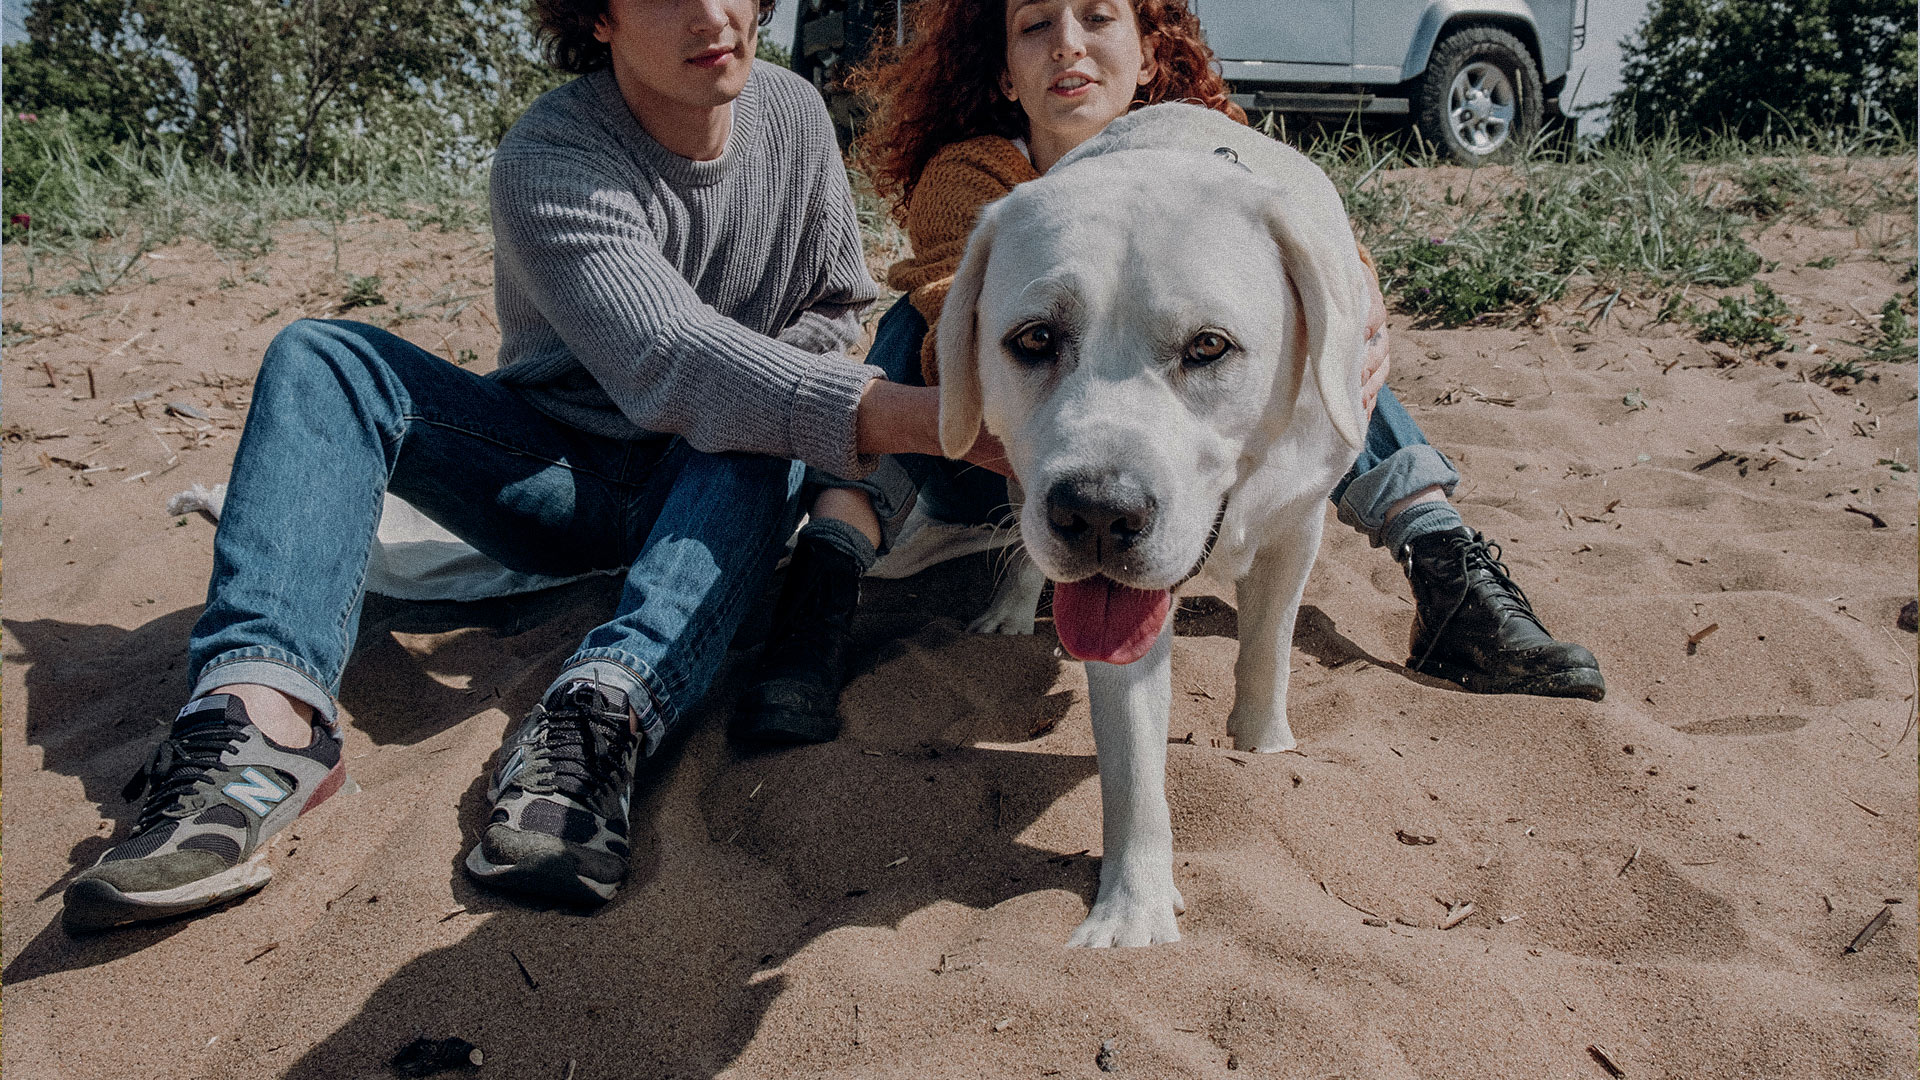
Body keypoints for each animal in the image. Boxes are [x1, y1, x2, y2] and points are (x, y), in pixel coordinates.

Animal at [936, 102, 1374, 941]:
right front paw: (1132, 910)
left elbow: (1267, 650)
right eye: (1034, 338)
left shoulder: (1299, 522)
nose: (1097, 512)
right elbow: (1133, 761)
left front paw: (1261, 746)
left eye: (1209, 346)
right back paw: (1008, 611)